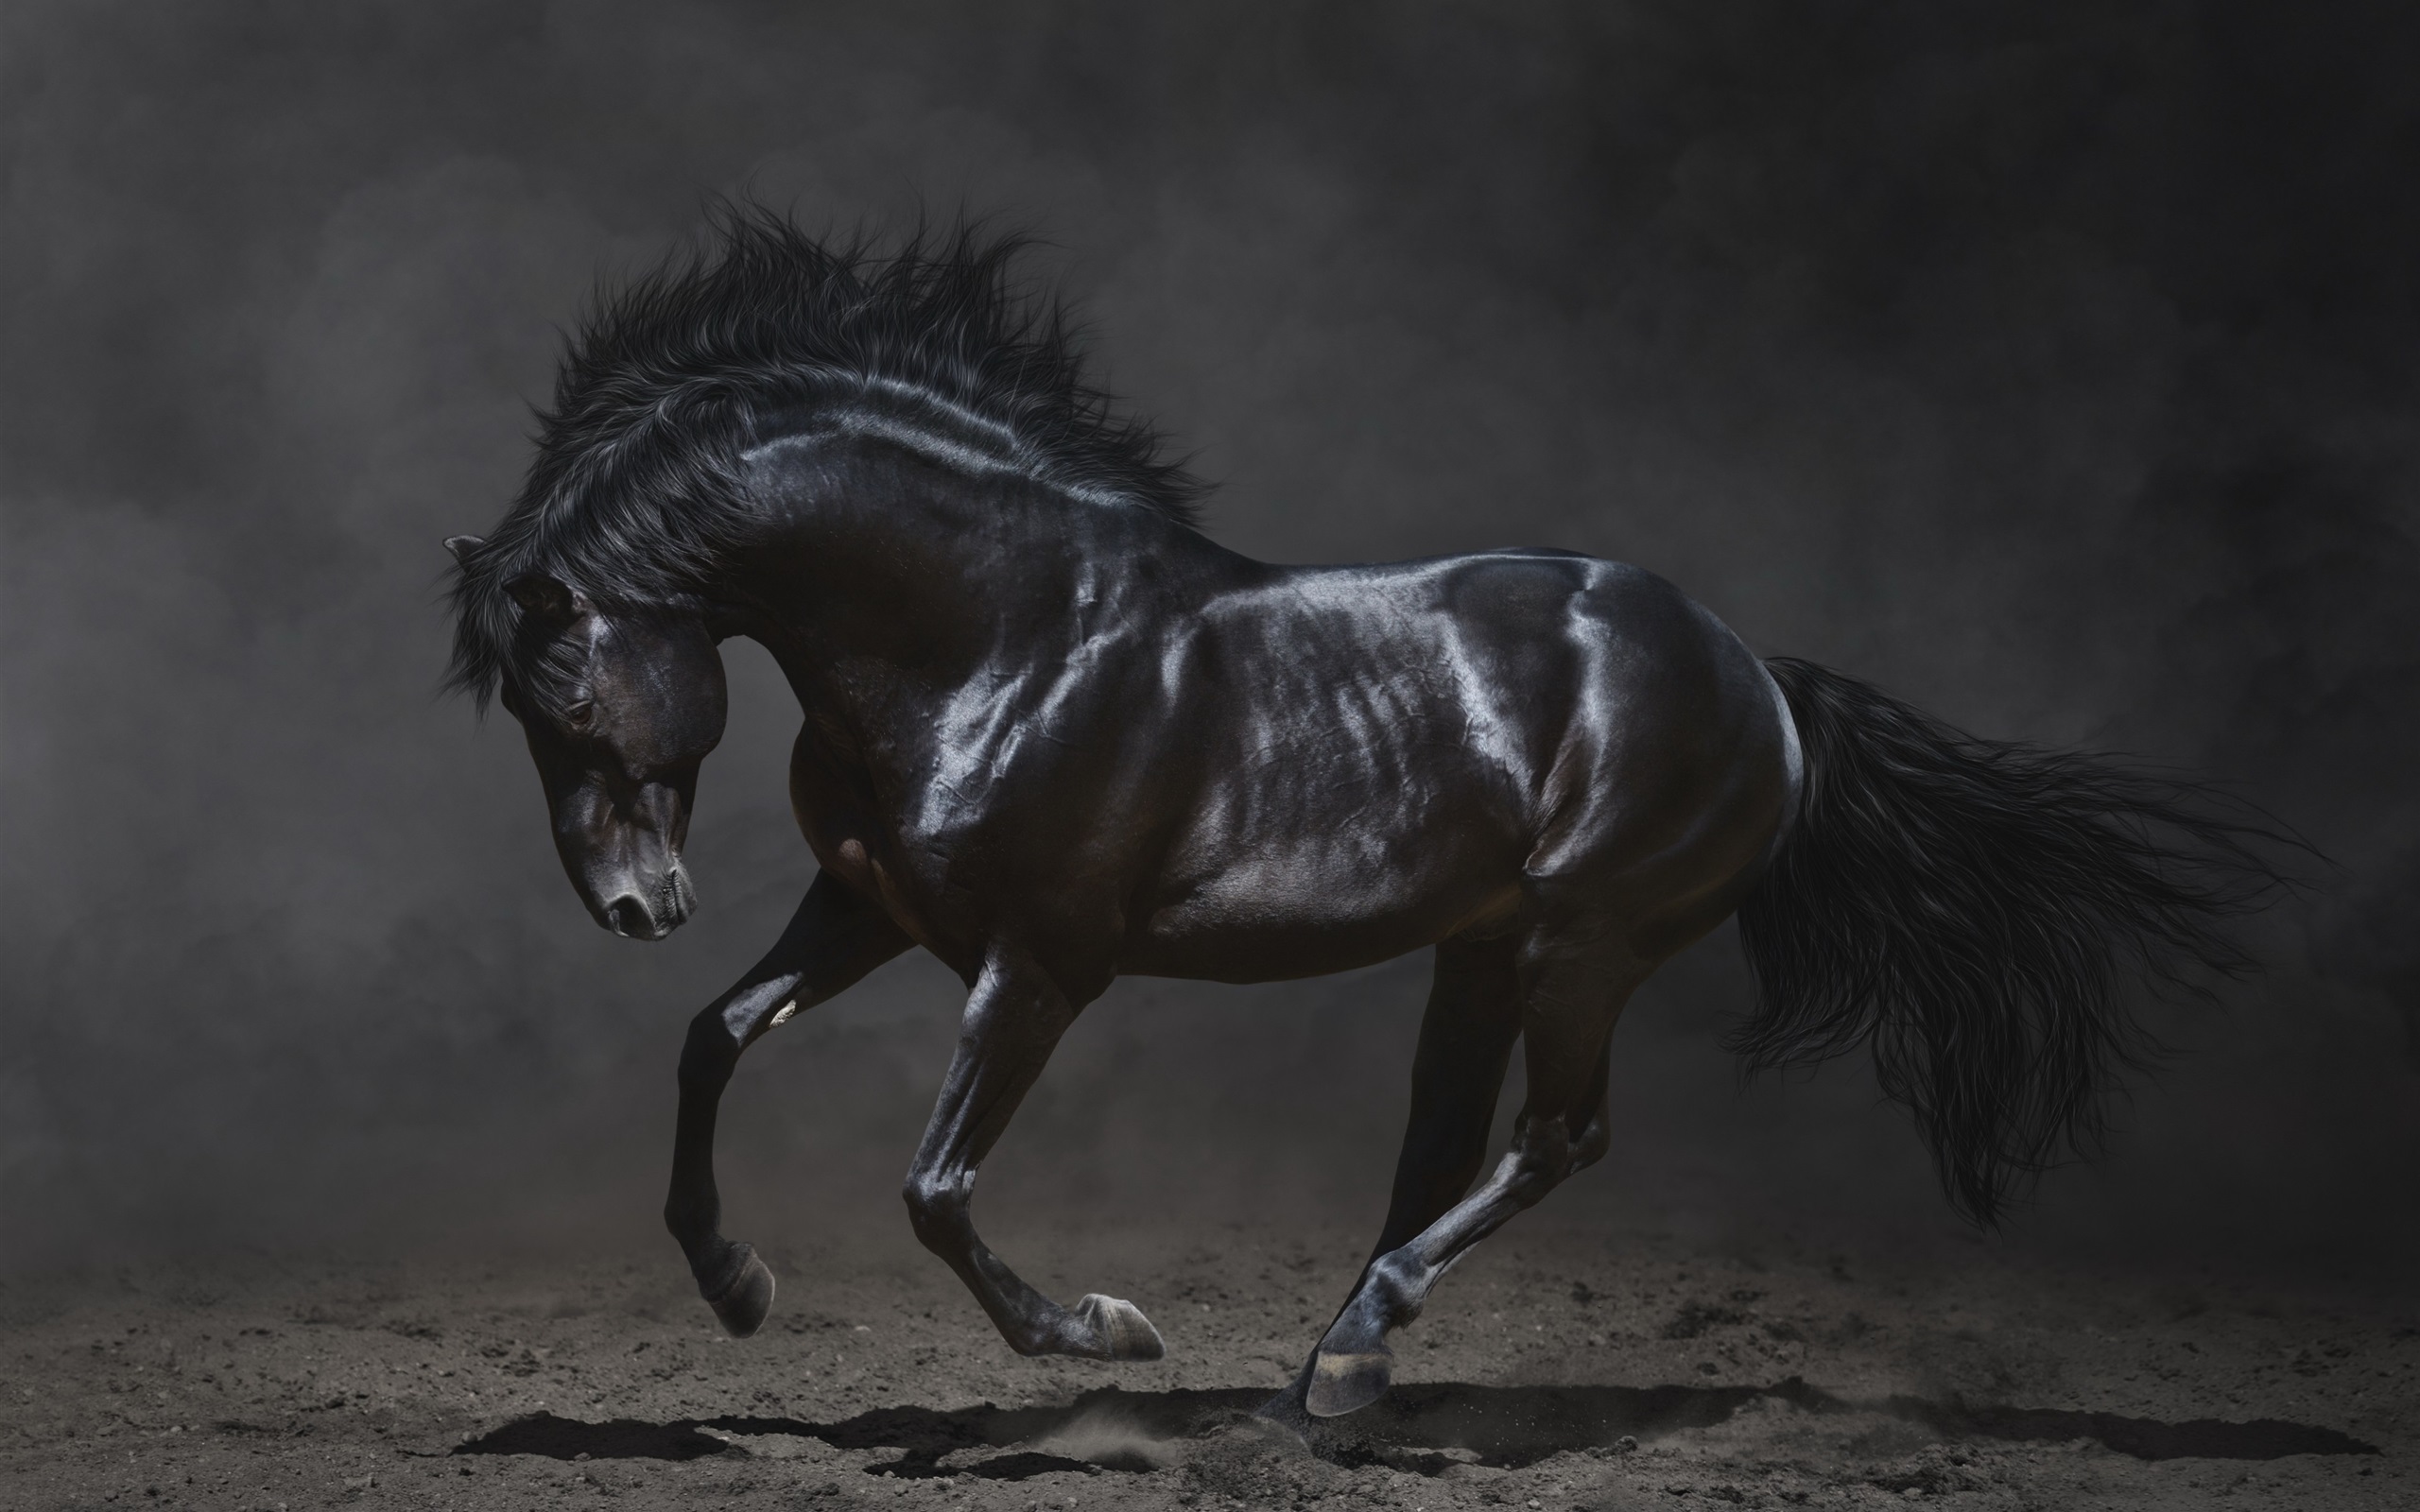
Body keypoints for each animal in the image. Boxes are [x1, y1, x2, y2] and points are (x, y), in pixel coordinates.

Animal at [444, 211, 2290, 1422]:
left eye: (566, 694)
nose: (633, 906)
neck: (1004, 635)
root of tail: (1758, 675)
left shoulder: (1039, 965)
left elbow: (936, 1187)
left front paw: (1105, 1335)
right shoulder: (873, 909)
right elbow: (714, 1038)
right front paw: (735, 1285)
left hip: (1584, 942)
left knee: (1556, 1139)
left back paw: (1347, 1356)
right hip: (1483, 950)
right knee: (1443, 1148)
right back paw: (1329, 1374)